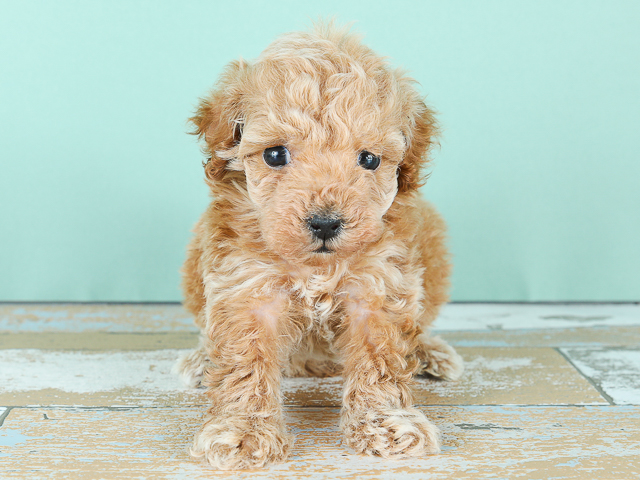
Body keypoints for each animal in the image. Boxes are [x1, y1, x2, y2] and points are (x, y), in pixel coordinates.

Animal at [176, 22, 464, 468]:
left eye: (369, 160)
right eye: (275, 154)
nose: (326, 223)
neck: (317, 268)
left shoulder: (379, 284)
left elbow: (381, 360)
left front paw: (385, 422)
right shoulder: (246, 285)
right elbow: (245, 361)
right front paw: (244, 429)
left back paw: (429, 352)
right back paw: (201, 358)